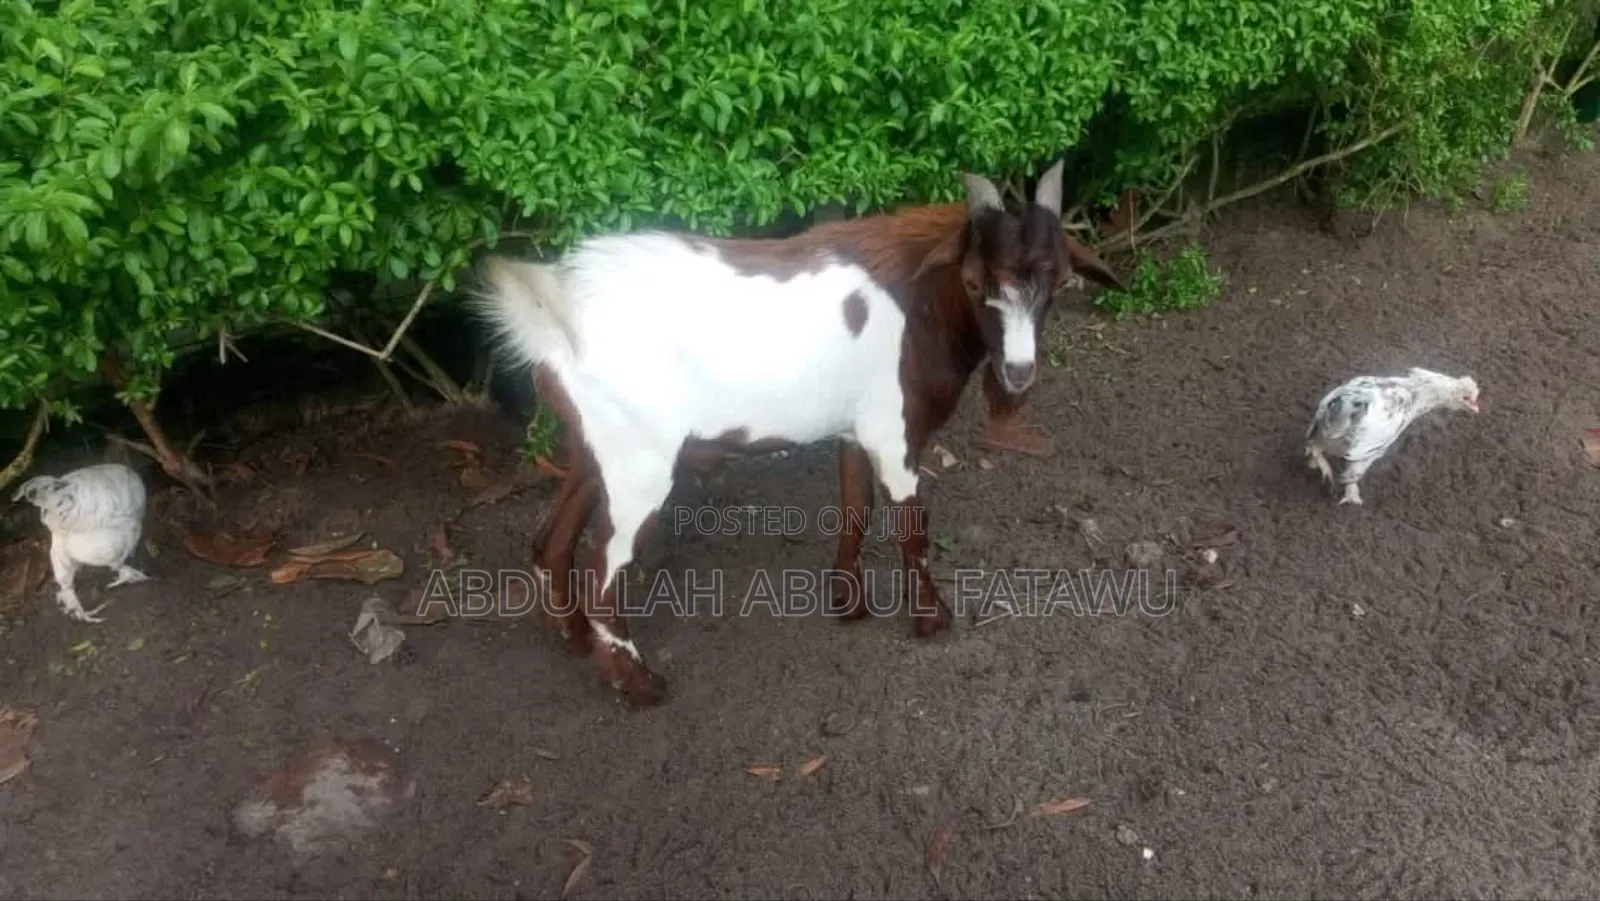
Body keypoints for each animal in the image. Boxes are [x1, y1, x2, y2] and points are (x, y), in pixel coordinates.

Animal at [473, 161, 1086, 708]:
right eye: (976, 281)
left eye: (1059, 279)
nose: (1019, 373)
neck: (918, 306)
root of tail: (554, 316)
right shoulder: (894, 432)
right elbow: (912, 526)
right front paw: (932, 620)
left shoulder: (854, 425)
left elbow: (855, 505)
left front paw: (848, 603)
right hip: (639, 464)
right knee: (603, 573)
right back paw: (641, 686)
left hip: (598, 444)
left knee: (551, 542)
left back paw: (576, 640)